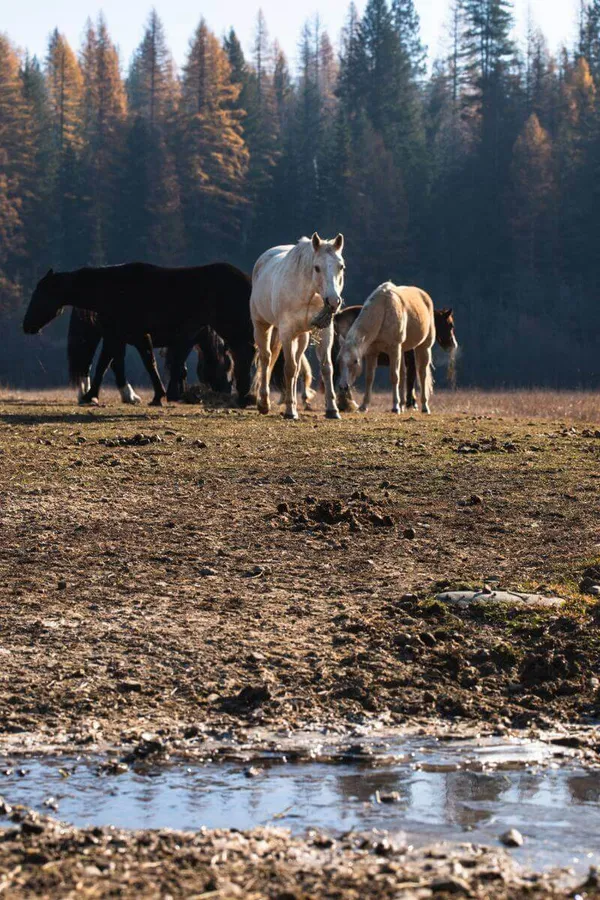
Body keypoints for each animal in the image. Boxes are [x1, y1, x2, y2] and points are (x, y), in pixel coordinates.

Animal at [67, 310, 233, 404]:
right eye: (227, 366)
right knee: (103, 362)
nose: (227, 391)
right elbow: (173, 364)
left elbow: (177, 366)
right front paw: (172, 394)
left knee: (105, 363)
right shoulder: (186, 338)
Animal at [250, 233, 345, 420]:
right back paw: (264, 403)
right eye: (317, 268)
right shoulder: (286, 332)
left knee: (297, 365)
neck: (308, 293)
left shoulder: (325, 331)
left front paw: (332, 409)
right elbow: (289, 368)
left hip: (301, 337)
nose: (333, 301)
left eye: (341, 267)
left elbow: (326, 368)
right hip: (262, 326)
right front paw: (289, 411)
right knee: (266, 359)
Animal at [338, 284, 436, 414]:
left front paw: (395, 406)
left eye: (355, 361)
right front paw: (364, 406)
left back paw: (424, 406)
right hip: (402, 350)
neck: (383, 309)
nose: (343, 386)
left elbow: (394, 377)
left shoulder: (394, 349)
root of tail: (425, 296)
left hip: (423, 346)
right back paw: (402, 405)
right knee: (403, 374)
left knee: (422, 374)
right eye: (339, 360)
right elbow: (369, 377)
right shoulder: (372, 352)